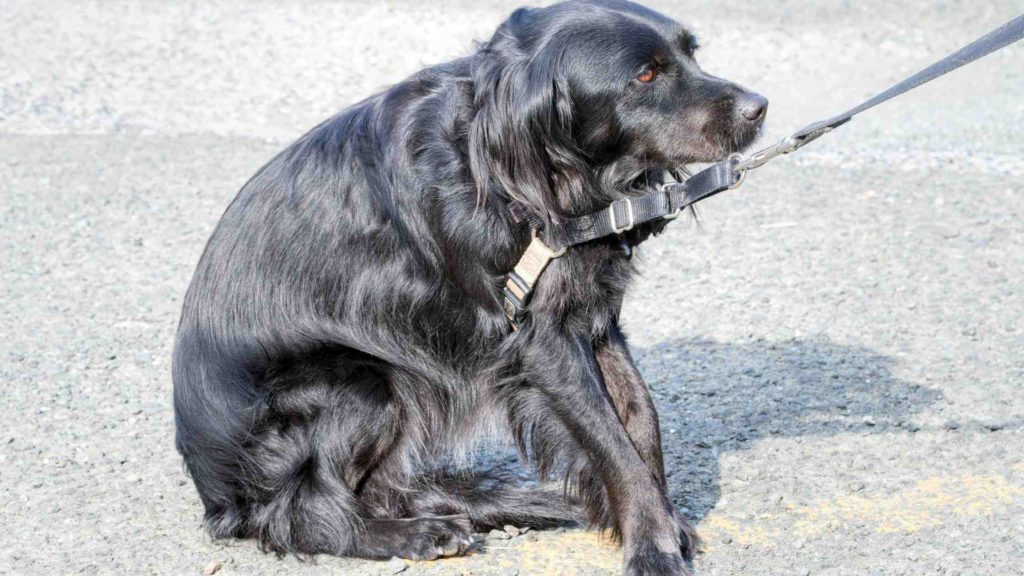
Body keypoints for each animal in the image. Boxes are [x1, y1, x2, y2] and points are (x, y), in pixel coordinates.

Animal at [172, 2, 765, 569]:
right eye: (645, 74)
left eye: (692, 52)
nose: (759, 106)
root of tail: (216, 494)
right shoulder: (541, 339)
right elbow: (611, 441)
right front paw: (653, 547)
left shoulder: (591, 316)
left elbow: (640, 416)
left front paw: (666, 522)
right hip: (363, 381)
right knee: (301, 512)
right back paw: (416, 536)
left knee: (383, 491)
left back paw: (515, 505)